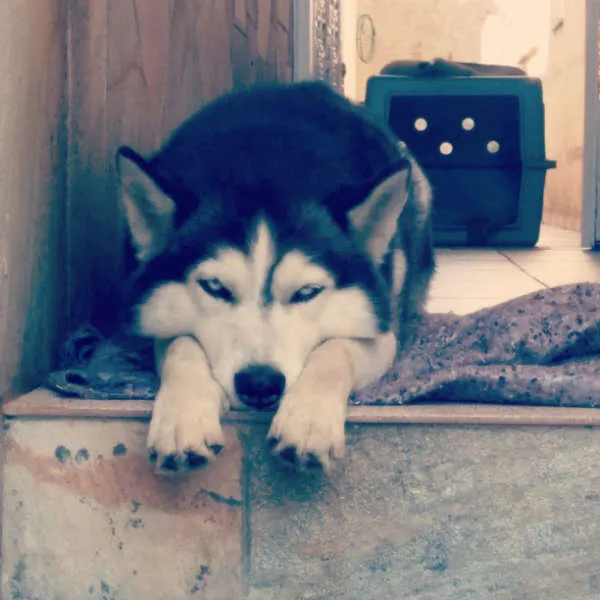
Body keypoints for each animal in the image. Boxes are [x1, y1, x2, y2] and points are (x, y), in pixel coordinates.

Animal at [117, 82, 434, 474]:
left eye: (307, 292)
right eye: (215, 287)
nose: (260, 383)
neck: (263, 167)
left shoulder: (381, 329)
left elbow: (335, 349)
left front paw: (309, 419)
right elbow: (180, 343)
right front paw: (182, 418)